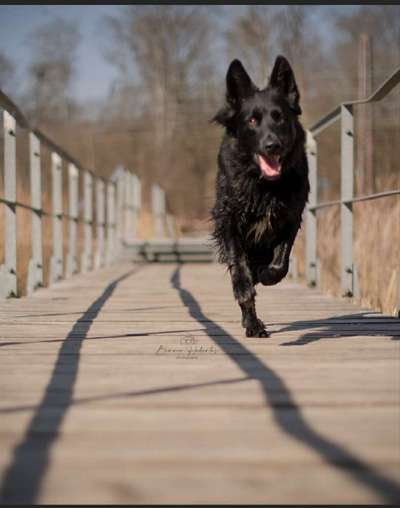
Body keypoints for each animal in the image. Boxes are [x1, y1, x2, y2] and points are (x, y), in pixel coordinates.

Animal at [212, 54, 310, 338]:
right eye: (252, 121)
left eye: (279, 118)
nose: (272, 145)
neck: (264, 184)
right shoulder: (228, 220)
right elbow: (239, 266)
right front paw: (244, 287)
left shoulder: (290, 218)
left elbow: (280, 263)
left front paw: (266, 275)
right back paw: (253, 323)